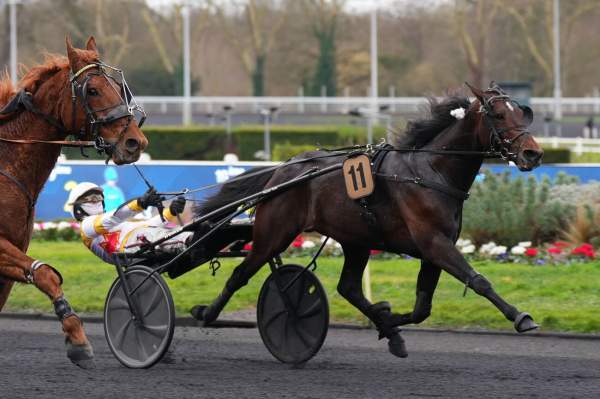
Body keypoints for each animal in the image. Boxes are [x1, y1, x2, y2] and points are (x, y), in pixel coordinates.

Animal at [0, 36, 148, 368]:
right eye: (92, 90)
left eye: (117, 87)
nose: (135, 142)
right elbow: (45, 274)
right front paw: (78, 340)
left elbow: (44, 274)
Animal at [193, 83, 544, 356]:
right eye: (498, 115)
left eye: (522, 113)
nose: (533, 153)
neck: (431, 172)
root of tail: (280, 171)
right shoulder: (434, 244)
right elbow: (478, 281)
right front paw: (520, 317)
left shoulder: (433, 250)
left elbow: (422, 308)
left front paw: (387, 320)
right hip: (274, 234)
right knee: (240, 273)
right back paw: (207, 312)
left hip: (356, 240)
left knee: (349, 288)